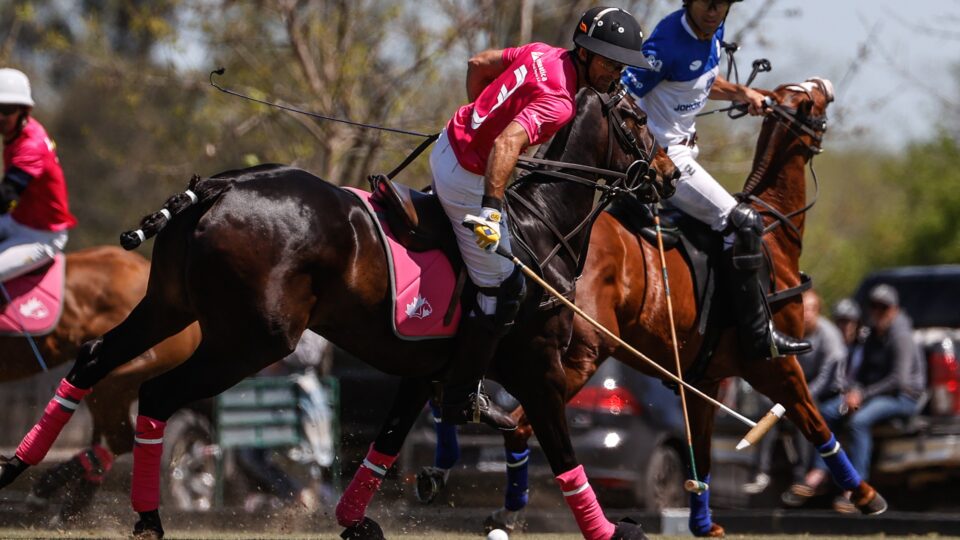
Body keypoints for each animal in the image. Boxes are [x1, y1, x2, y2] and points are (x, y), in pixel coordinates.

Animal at [422, 78, 888, 536]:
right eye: (811, 99)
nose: (825, 85)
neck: (774, 236)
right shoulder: (773, 363)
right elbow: (814, 420)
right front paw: (866, 496)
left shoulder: (706, 377)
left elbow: (701, 451)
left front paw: (704, 523)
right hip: (579, 355)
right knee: (518, 423)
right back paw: (499, 502)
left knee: (476, 399)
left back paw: (453, 472)